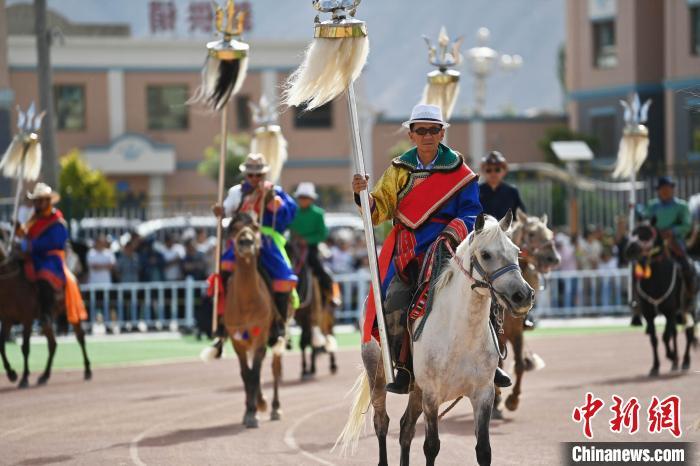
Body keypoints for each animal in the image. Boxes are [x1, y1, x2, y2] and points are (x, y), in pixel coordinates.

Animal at [0, 239, 91, 388]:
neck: (10, 283)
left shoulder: (27, 319)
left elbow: (25, 348)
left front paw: (24, 378)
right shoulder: (7, 319)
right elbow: (2, 346)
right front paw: (11, 374)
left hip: (72, 313)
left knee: (80, 338)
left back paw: (87, 370)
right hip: (46, 320)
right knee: (52, 344)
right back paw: (44, 375)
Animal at [224, 213, 284, 428]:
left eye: (256, 226)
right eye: (234, 228)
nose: (246, 242)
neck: (246, 301)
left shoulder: (261, 335)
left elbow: (256, 372)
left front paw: (255, 410)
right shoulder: (237, 340)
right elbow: (246, 374)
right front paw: (250, 410)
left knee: (275, 368)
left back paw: (274, 407)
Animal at [335, 212, 534, 466]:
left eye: (516, 251)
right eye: (486, 254)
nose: (523, 295)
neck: (461, 335)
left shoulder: (483, 394)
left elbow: (484, 450)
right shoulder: (431, 395)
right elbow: (431, 447)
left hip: (416, 390)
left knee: (406, 428)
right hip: (377, 373)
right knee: (382, 422)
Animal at [493, 210, 560, 416]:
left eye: (550, 233)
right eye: (531, 233)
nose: (553, 258)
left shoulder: (517, 332)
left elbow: (520, 365)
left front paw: (513, 400)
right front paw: (498, 402)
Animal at [625, 221, 696, 376]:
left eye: (647, 233)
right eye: (633, 232)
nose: (630, 248)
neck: (655, 279)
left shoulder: (669, 311)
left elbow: (665, 336)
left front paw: (671, 356)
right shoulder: (649, 314)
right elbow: (655, 339)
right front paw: (655, 366)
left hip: (689, 308)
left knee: (688, 332)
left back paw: (685, 361)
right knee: (675, 332)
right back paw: (676, 362)